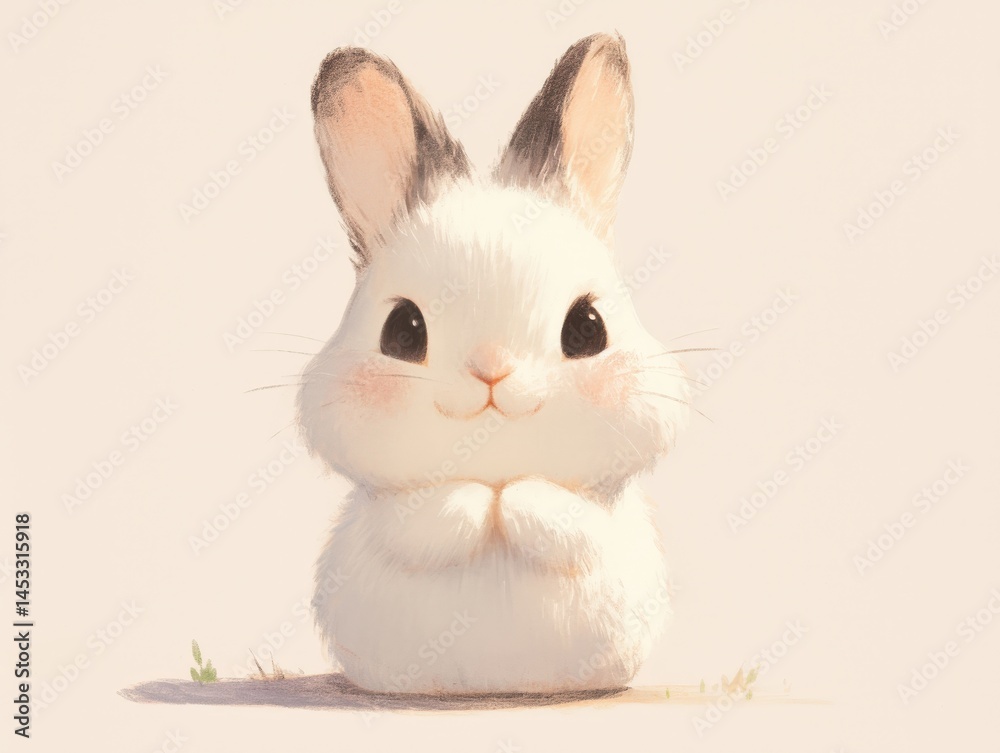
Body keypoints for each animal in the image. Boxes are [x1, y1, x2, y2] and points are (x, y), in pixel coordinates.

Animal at [297, 33, 691, 694]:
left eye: (588, 328)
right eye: (401, 332)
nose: (491, 372)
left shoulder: (597, 518)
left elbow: (560, 515)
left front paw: (508, 500)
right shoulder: (391, 514)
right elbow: (425, 518)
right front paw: (481, 501)